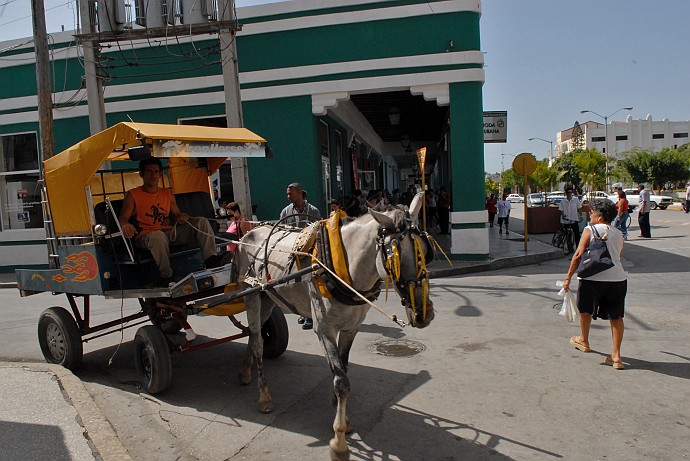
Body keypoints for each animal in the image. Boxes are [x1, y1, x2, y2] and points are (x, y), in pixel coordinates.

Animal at [234, 192, 432, 458]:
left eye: (425, 250)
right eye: (394, 257)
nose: (424, 314)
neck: (341, 269)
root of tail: (248, 232)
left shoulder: (350, 328)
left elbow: (344, 369)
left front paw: (341, 416)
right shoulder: (324, 329)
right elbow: (341, 382)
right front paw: (339, 441)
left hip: (267, 298)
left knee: (253, 336)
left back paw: (245, 372)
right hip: (251, 295)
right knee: (257, 343)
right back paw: (264, 397)